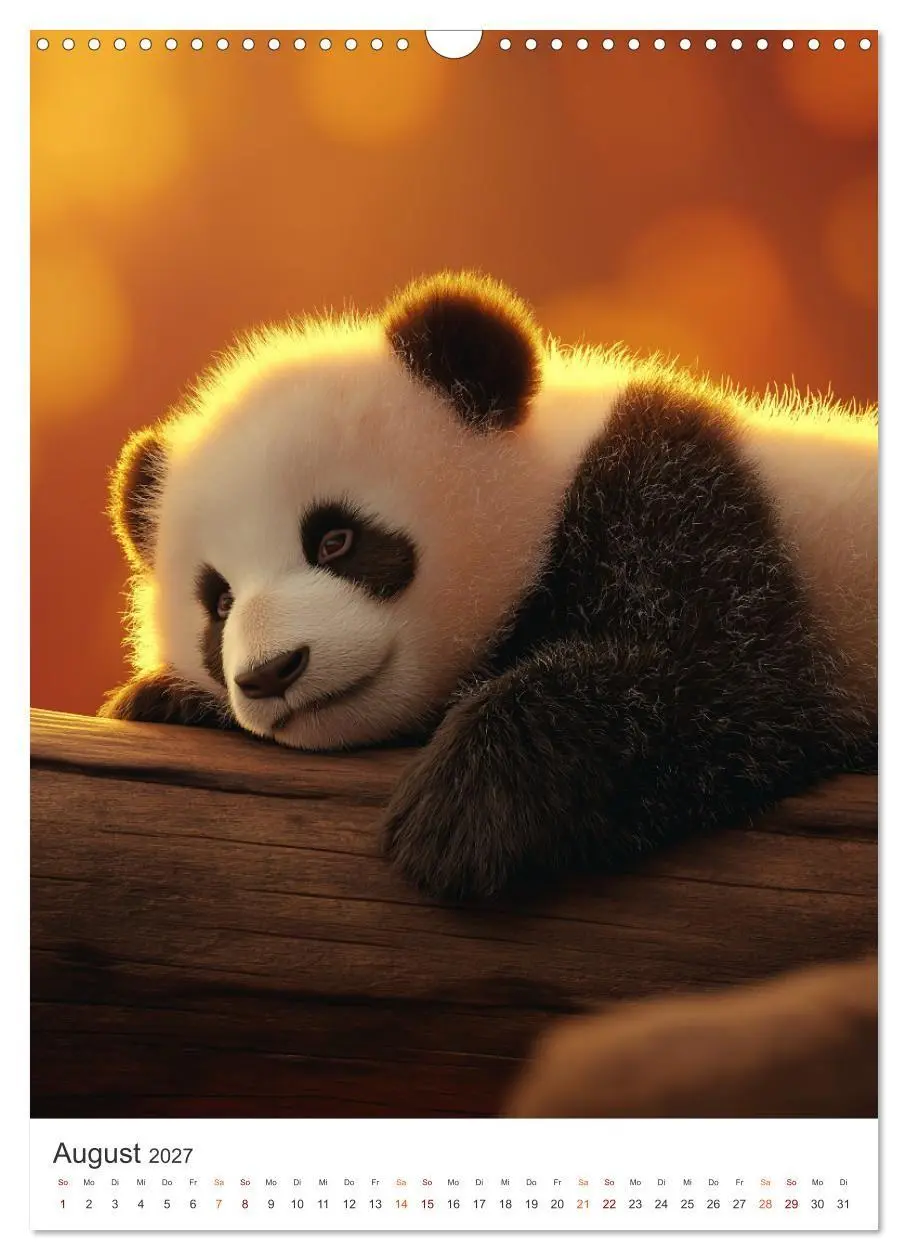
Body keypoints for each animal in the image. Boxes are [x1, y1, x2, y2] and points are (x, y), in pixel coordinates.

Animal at [100, 271, 878, 900]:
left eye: (336, 540)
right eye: (220, 602)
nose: (270, 673)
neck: (554, 480)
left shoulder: (688, 503)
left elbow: (722, 675)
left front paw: (464, 812)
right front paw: (163, 698)